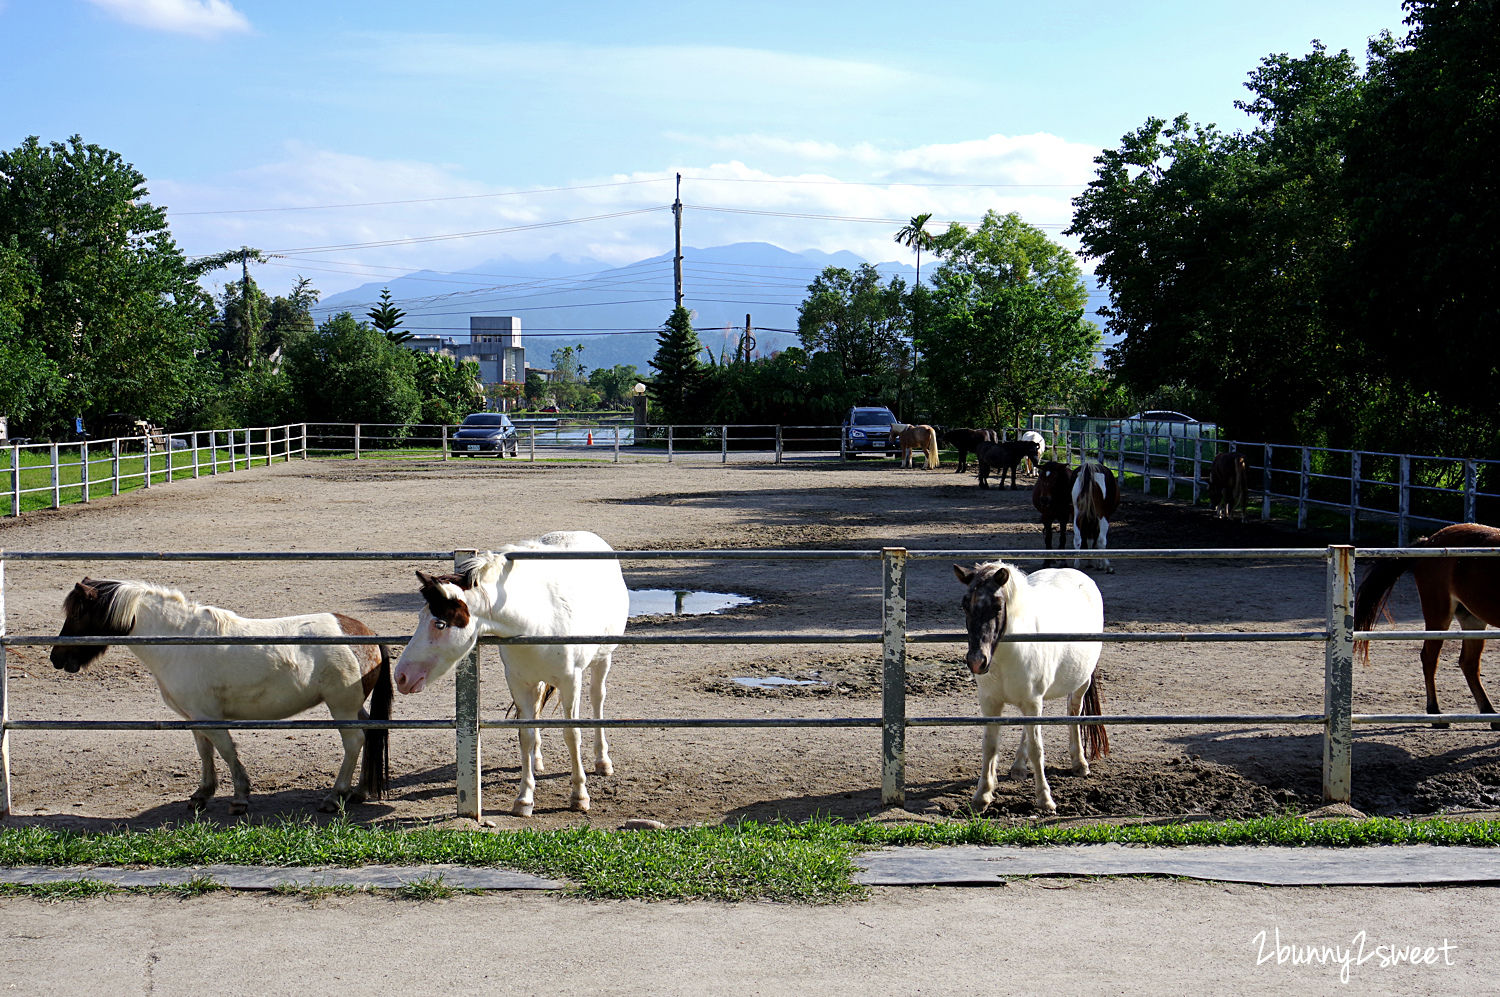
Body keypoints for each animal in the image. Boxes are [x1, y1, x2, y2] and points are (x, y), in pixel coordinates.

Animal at [51, 578, 393, 815]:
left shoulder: (209, 716)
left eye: (78, 615)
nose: (56, 658)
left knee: (354, 742)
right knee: (369, 734)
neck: (180, 641)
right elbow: (206, 753)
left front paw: (240, 798)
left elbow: (227, 752)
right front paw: (202, 795)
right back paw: (359, 791)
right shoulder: (195, 717)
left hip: (341, 707)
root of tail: (364, 633)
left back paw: (335, 796)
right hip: (352, 707)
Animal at [393, 527, 627, 815]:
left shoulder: (571, 680)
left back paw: (602, 760)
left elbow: (572, 734)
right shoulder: (518, 681)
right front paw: (524, 798)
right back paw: (537, 760)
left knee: (597, 699)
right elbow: (525, 735)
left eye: (440, 624)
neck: (538, 618)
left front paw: (579, 795)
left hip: (602, 660)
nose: (401, 676)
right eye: (420, 618)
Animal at [954, 560, 1110, 809]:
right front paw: (982, 795)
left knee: (1073, 714)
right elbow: (990, 746)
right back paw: (1018, 767)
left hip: (1080, 683)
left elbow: (1038, 749)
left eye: (998, 606)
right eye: (965, 605)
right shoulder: (991, 703)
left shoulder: (1033, 702)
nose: (977, 661)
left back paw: (1079, 763)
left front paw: (1045, 798)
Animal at [1356, 524, 1500, 728]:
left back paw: (1489, 712)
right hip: (1438, 614)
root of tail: (1431, 541)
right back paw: (1435, 712)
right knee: (1430, 658)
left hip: (1472, 619)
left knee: (1469, 664)